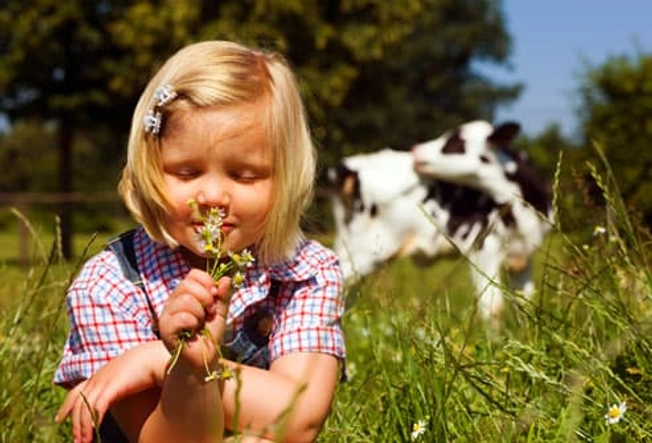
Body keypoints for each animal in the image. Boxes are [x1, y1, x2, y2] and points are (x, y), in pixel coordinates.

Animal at [332, 119, 552, 328]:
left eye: (455, 143)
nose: (415, 149)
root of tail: (356, 165)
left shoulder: (525, 256)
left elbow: (525, 303)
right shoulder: (482, 248)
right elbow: (493, 309)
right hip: (367, 249)